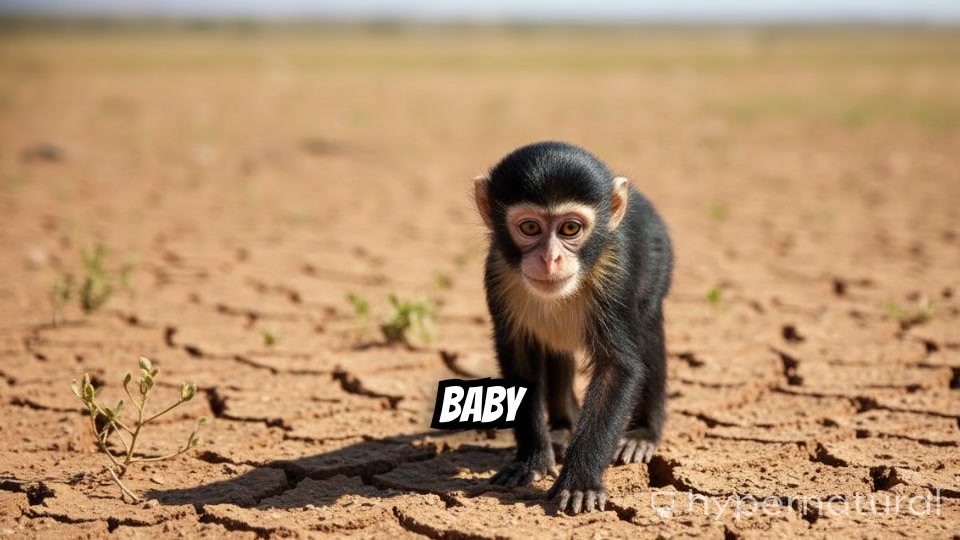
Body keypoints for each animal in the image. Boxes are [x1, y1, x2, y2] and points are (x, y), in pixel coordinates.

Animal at [473, 141, 672, 515]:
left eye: (569, 229)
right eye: (530, 228)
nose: (550, 259)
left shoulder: (612, 270)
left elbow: (618, 368)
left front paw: (580, 482)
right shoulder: (498, 271)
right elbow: (519, 360)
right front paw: (531, 460)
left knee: (649, 329)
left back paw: (642, 434)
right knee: (556, 347)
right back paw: (564, 429)